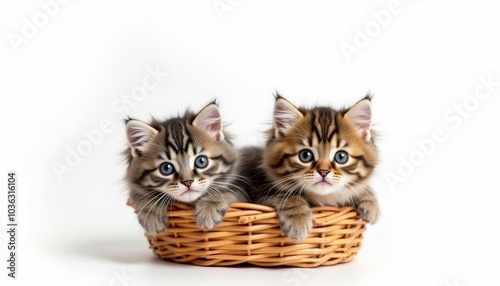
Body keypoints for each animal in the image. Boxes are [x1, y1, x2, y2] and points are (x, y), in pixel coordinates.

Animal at [124, 103, 248, 235]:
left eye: (201, 161)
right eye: (166, 168)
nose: (187, 182)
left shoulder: (241, 190)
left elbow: (225, 192)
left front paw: (209, 210)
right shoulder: (135, 190)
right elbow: (144, 197)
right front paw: (151, 214)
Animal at [241, 95, 378, 241]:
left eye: (341, 157)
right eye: (305, 155)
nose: (323, 171)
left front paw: (370, 202)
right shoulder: (260, 191)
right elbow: (284, 195)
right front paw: (298, 218)